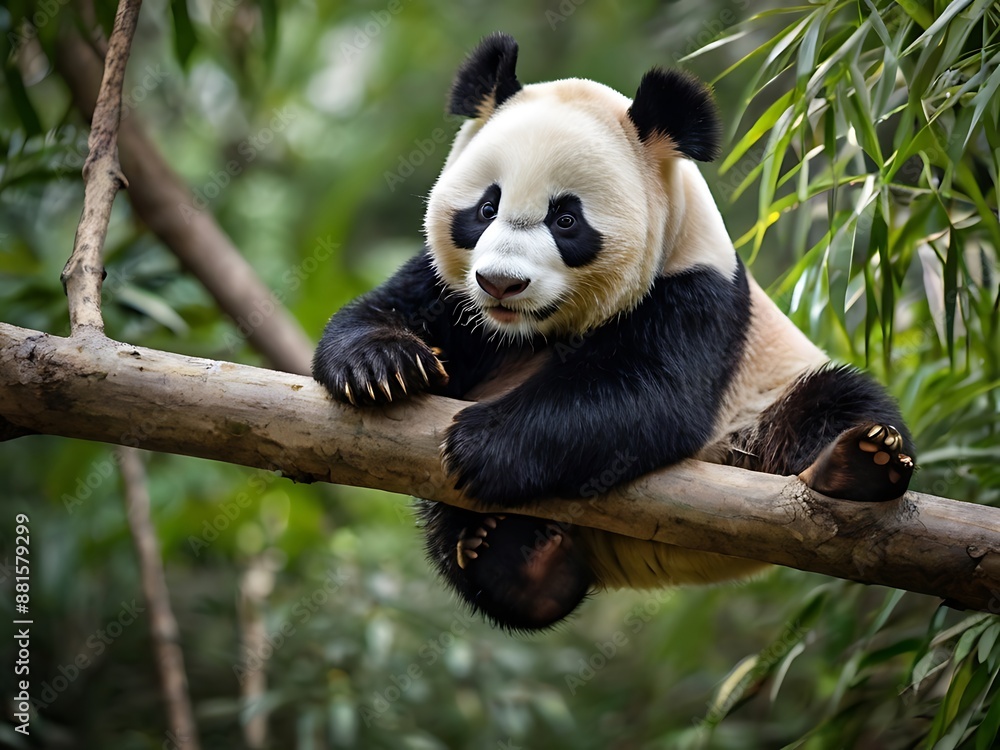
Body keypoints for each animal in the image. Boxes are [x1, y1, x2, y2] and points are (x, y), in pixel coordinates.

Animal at [313, 32, 915, 631]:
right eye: (486, 208)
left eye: (565, 220)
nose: (501, 283)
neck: (537, 327)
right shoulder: (454, 293)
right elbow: (386, 310)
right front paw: (382, 367)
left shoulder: (697, 292)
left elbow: (650, 395)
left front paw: (481, 441)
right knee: (459, 546)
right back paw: (519, 563)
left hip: (762, 408)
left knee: (832, 402)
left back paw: (861, 465)